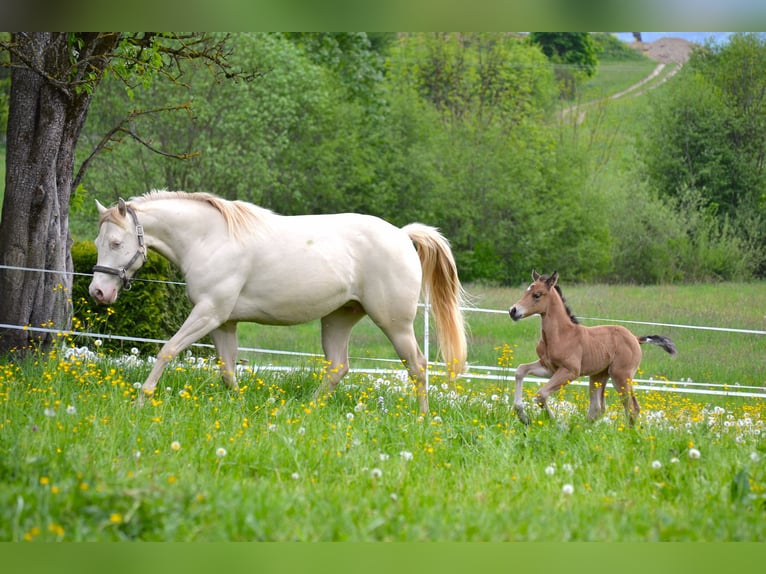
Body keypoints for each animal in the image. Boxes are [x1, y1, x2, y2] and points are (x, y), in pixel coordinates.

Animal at [88, 190, 468, 414]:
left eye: (117, 243)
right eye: (98, 242)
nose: (98, 292)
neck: (210, 238)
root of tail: (402, 235)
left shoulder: (209, 313)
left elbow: (167, 350)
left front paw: (142, 399)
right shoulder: (224, 322)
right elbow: (227, 370)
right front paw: (241, 405)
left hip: (395, 323)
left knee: (417, 365)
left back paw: (422, 417)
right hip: (338, 318)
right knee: (338, 367)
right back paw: (305, 410)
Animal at [508, 271, 677, 426]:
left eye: (537, 295)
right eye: (526, 291)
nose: (513, 311)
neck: (561, 334)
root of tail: (635, 338)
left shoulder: (570, 371)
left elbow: (541, 395)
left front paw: (556, 423)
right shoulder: (549, 368)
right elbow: (520, 370)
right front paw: (522, 416)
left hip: (621, 376)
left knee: (631, 407)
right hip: (599, 376)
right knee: (597, 409)